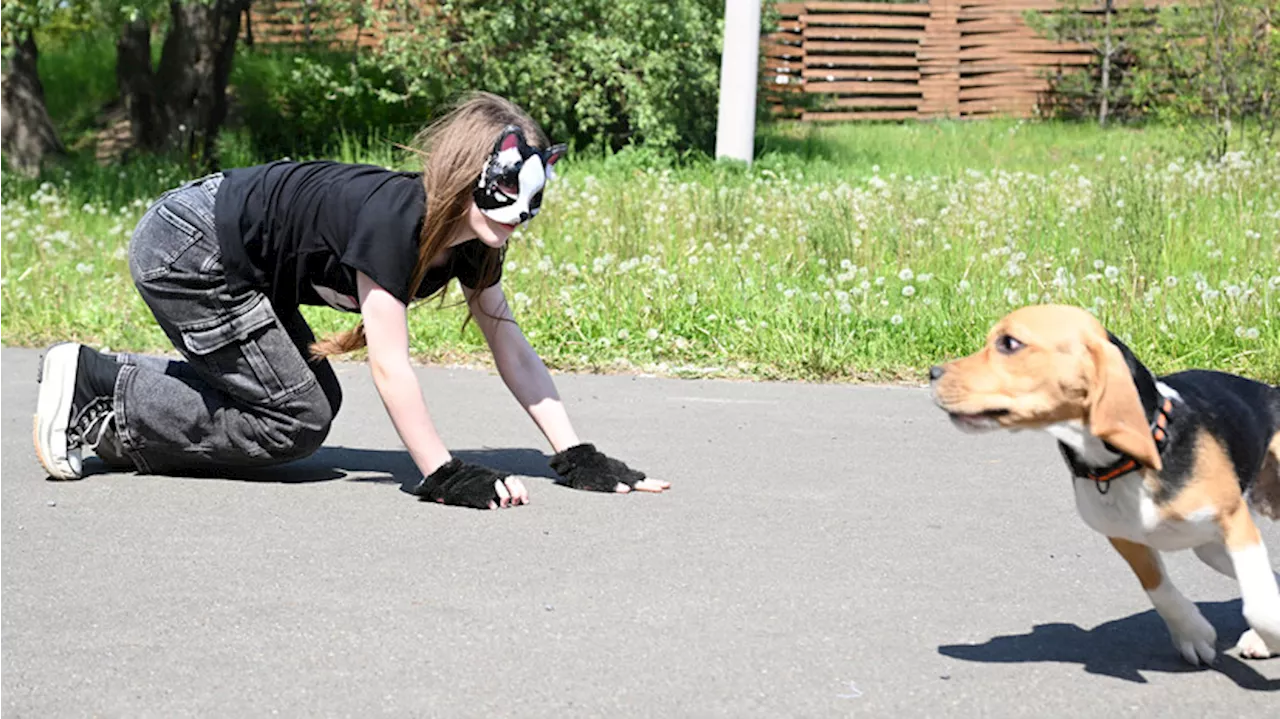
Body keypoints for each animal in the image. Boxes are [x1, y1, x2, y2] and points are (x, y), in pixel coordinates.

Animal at [931, 301, 1280, 660]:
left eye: (1010, 343)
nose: (933, 373)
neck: (1124, 466)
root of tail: (1271, 391)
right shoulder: (1124, 537)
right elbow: (1159, 589)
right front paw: (1192, 633)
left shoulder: (1234, 522)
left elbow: (1259, 608)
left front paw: (1266, 635)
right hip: (1209, 549)